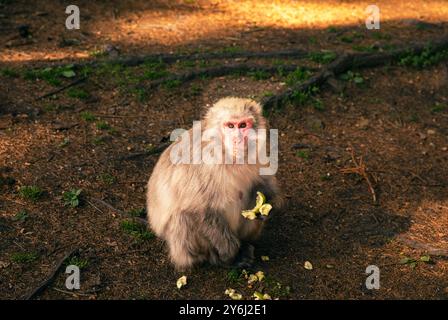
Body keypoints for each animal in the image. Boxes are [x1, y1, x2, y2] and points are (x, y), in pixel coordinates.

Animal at [146, 97, 280, 270]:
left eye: (243, 125)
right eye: (230, 126)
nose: (237, 139)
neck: (225, 152)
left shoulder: (257, 153)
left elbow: (264, 184)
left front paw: (268, 206)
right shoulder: (204, 164)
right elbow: (199, 209)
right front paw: (229, 251)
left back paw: (245, 245)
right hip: (182, 249)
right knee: (182, 216)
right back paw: (220, 258)